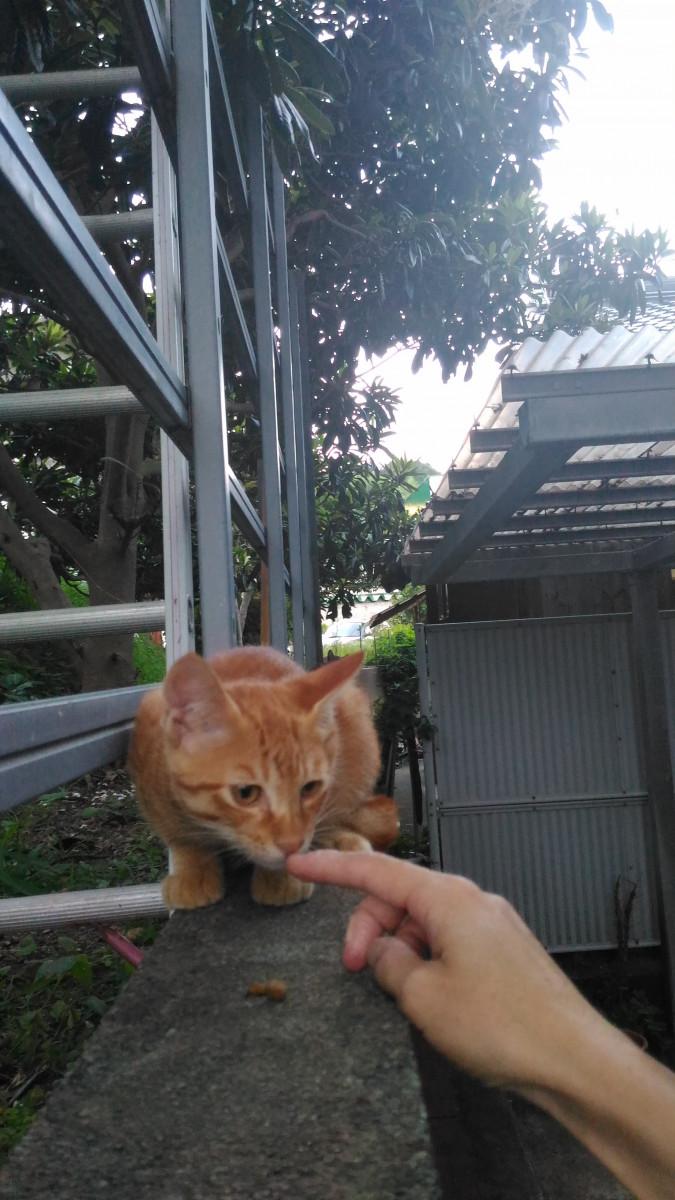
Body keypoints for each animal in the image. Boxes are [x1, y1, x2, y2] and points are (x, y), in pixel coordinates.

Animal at [128, 645, 399, 909]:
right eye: (246, 793)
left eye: (310, 788)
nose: (292, 844)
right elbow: (178, 834)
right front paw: (193, 870)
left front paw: (280, 879)